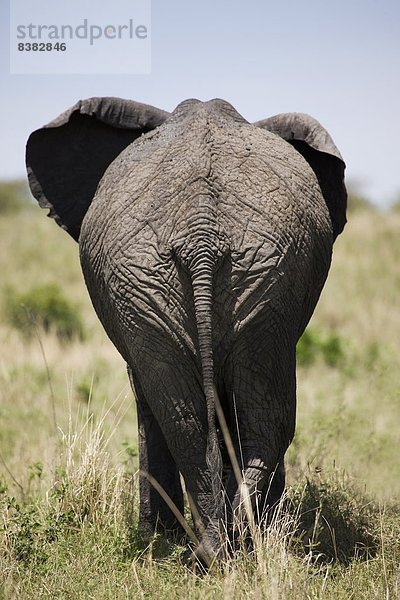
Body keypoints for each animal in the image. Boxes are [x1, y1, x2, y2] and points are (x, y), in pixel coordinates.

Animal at [26, 95, 346, 564]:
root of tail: (203, 235)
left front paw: (158, 536)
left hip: (239, 276)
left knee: (194, 415)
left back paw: (218, 546)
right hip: (233, 280)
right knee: (249, 415)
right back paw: (234, 544)